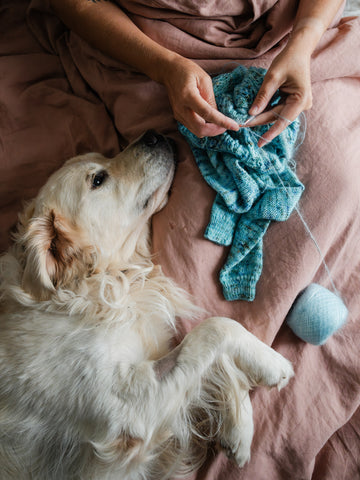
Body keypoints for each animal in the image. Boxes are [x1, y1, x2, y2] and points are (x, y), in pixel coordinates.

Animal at [0, 131, 292, 480]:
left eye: (105, 155)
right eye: (98, 179)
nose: (152, 135)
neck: (97, 286)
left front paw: (240, 429)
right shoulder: (129, 411)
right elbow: (212, 330)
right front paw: (271, 364)